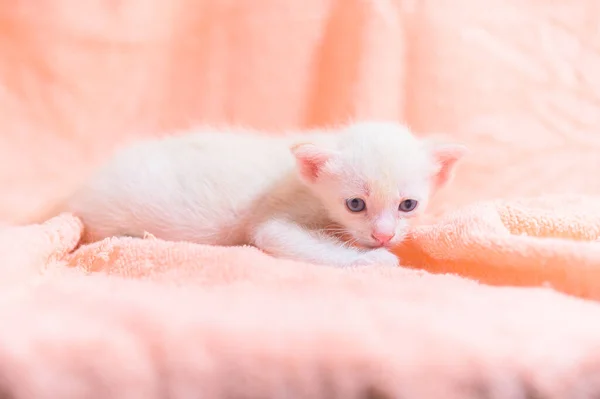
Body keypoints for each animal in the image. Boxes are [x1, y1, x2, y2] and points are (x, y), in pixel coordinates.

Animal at [67, 122, 468, 268]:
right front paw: (373, 259)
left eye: (408, 205)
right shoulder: (276, 217)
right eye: (355, 204)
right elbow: (288, 239)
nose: (383, 235)